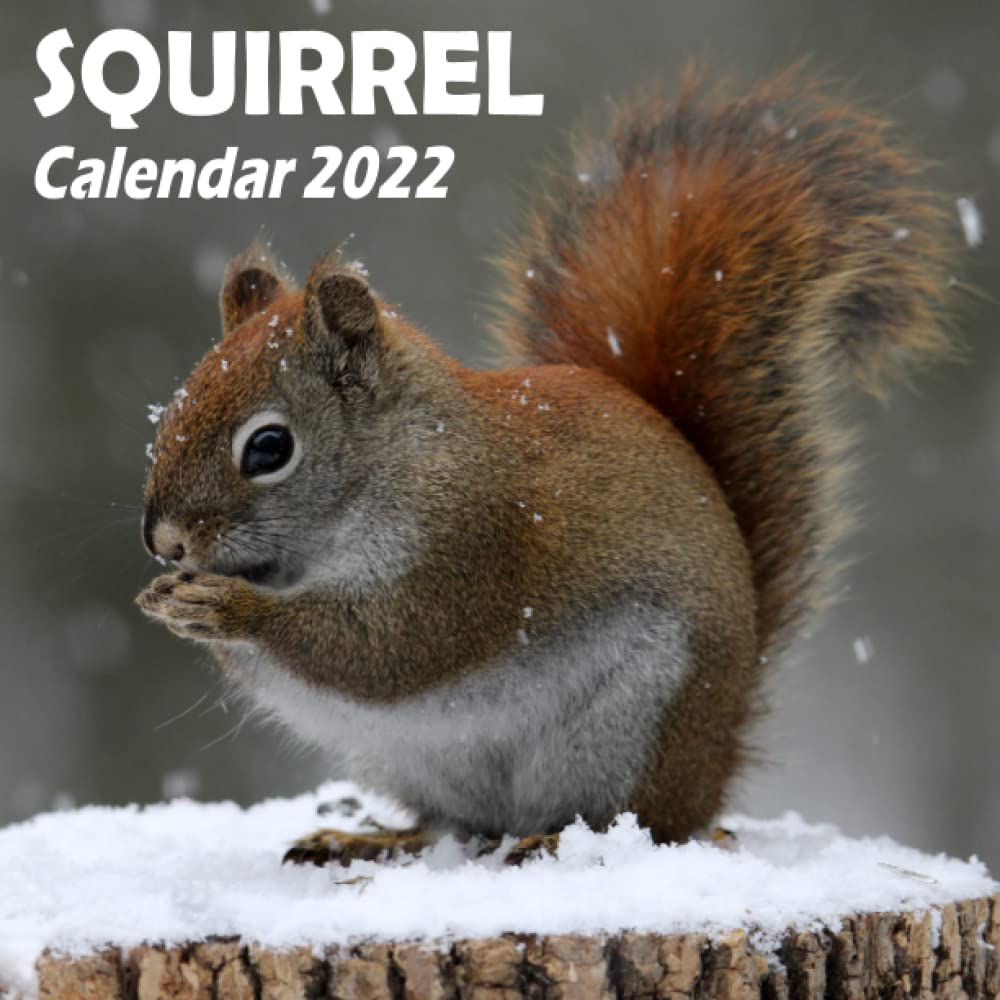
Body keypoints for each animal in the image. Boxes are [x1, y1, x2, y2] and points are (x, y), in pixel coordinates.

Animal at [137, 71, 956, 866]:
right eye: (174, 411)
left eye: (268, 448)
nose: (164, 541)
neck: (397, 463)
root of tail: (719, 758)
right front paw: (168, 598)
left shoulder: (471, 544)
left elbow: (388, 647)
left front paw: (226, 607)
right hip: (416, 762)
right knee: (452, 825)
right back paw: (370, 839)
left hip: (634, 724)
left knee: (644, 822)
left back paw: (558, 838)